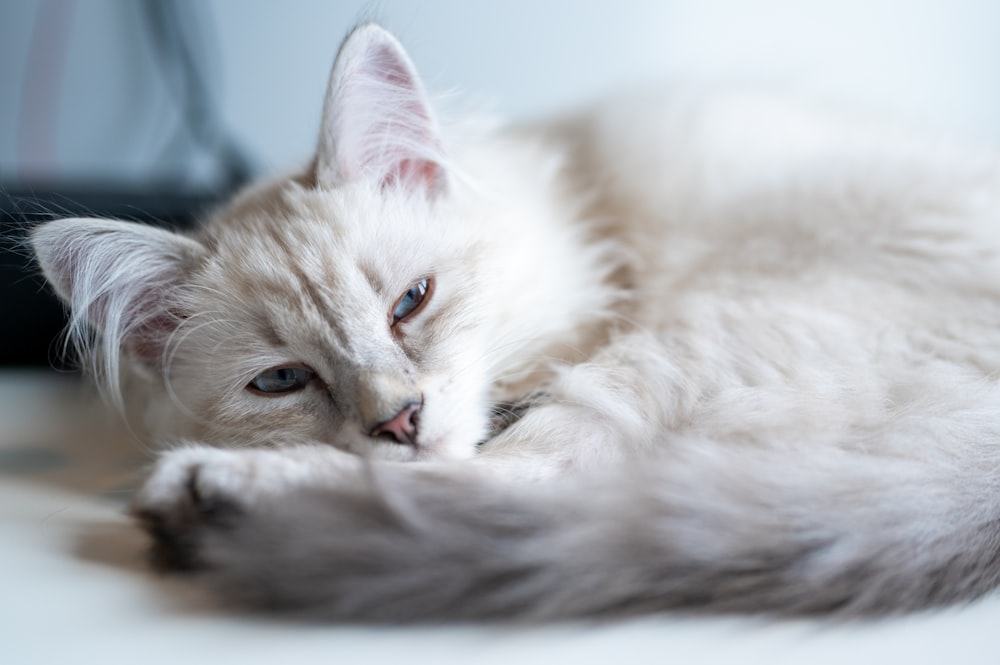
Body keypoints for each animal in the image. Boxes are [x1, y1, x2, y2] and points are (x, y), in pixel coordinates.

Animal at [29, 20, 1000, 620]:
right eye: (280, 380)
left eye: (411, 301)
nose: (400, 419)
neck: (577, 202)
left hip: (697, 334)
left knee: (519, 484)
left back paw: (210, 495)